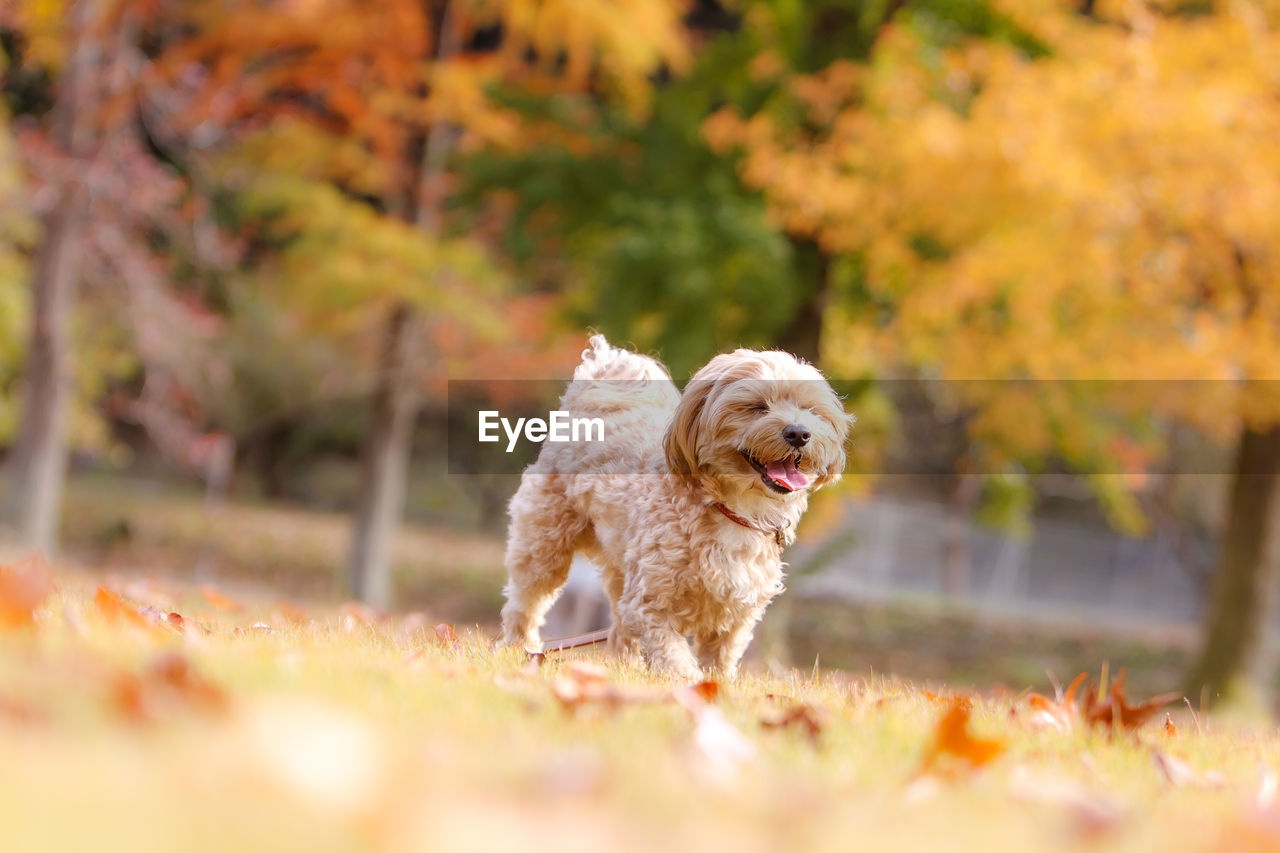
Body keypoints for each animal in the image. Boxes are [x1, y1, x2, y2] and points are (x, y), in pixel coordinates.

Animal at [504, 335, 855, 676]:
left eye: (808, 409)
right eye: (757, 407)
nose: (799, 433)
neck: (731, 509)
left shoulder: (734, 617)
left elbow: (718, 662)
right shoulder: (649, 604)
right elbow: (674, 657)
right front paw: (686, 684)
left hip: (620, 565)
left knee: (618, 628)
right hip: (545, 542)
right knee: (525, 601)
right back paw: (518, 648)